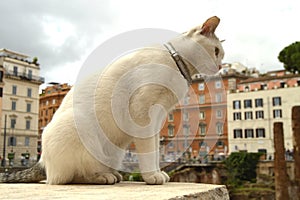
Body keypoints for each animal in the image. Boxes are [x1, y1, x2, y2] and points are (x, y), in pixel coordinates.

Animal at [0, 16, 224, 185]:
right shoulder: (143, 114)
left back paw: (113, 174)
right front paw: (151, 176)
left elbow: (155, 149)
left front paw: (157, 173)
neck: (177, 63)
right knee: (67, 177)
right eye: (216, 51)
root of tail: (42, 161)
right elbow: (148, 152)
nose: (221, 66)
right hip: (80, 131)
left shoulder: (158, 118)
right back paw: (103, 177)